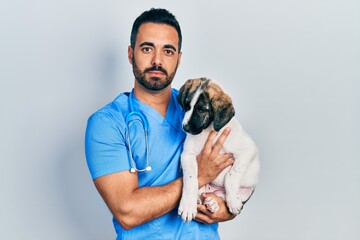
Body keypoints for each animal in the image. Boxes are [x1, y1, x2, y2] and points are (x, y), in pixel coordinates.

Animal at [176, 78, 258, 222]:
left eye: (201, 109)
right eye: (187, 106)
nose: (185, 128)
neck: (209, 132)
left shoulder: (247, 151)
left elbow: (232, 175)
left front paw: (233, 201)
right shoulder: (187, 155)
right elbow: (190, 179)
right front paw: (187, 206)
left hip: (248, 190)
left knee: (221, 195)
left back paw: (214, 202)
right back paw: (202, 201)